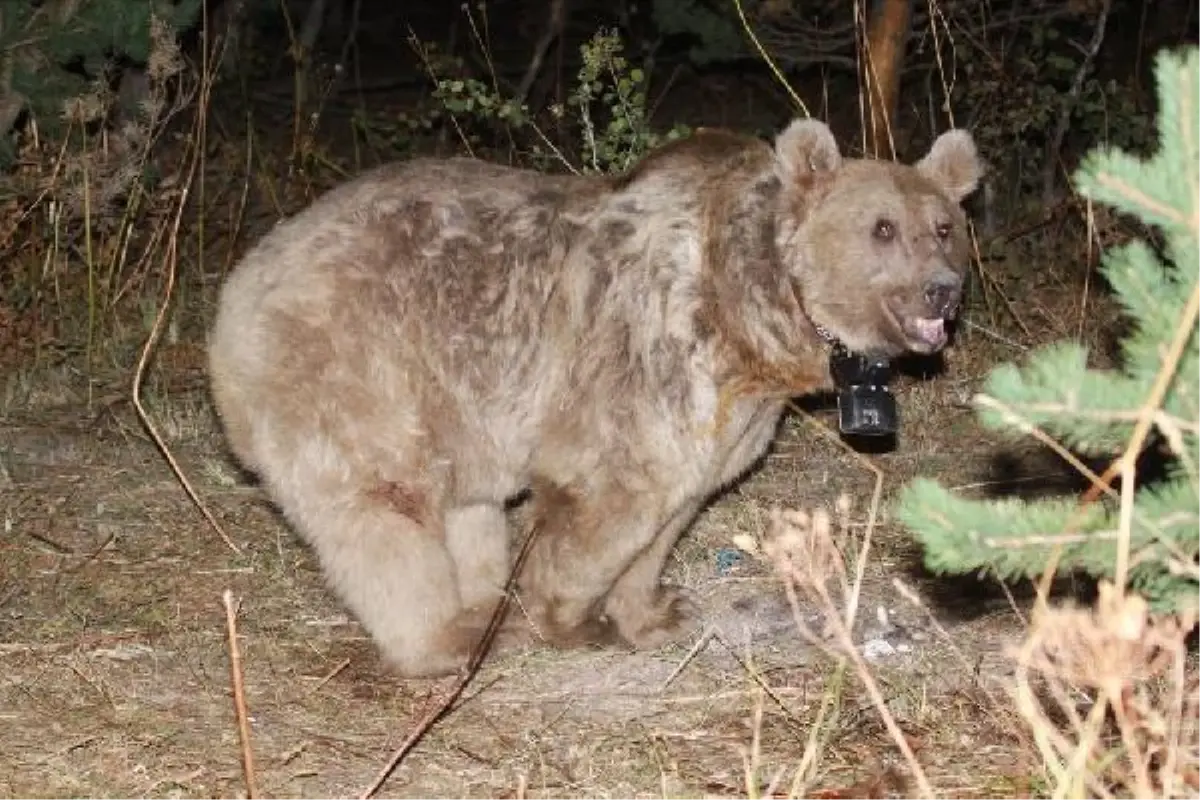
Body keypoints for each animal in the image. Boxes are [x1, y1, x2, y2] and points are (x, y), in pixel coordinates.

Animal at [204, 118, 974, 681]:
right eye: (882, 227)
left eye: (943, 226)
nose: (941, 290)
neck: (754, 312)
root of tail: (238, 290)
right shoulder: (649, 354)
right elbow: (616, 499)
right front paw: (572, 618)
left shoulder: (729, 411)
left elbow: (677, 505)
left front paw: (656, 609)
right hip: (360, 365)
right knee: (381, 510)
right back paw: (451, 637)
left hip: (453, 402)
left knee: (463, 502)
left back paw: (485, 600)